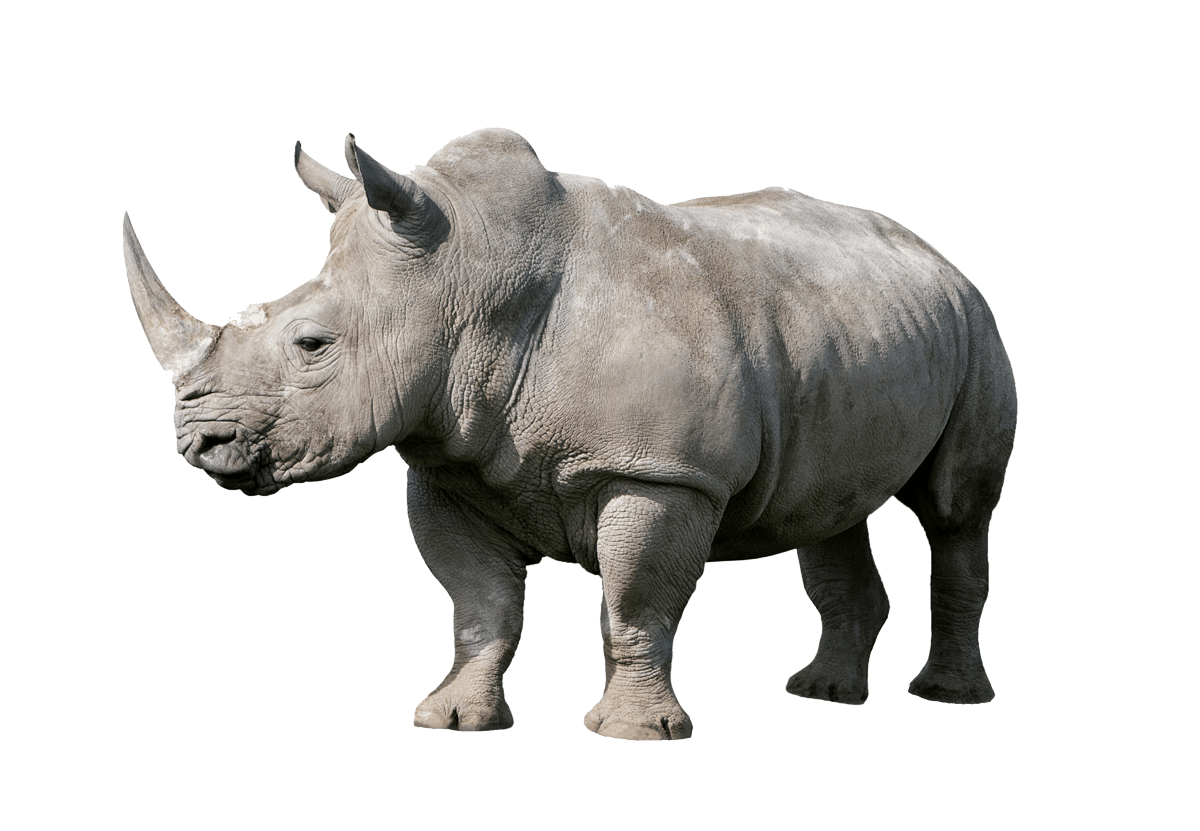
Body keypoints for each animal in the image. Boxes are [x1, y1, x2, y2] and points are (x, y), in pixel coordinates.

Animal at [124, 128, 1017, 740]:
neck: (466, 279)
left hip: (975, 324)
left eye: (311, 344)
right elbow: (480, 602)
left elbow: (635, 599)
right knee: (830, 509)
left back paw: (946, 696)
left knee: (955, 511)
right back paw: (822, 694)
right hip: (854, 331)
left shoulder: (658, 470)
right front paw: (452, 718)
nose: (196, 444)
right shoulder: (450, 464)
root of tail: (934, 253)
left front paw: (634, 731)